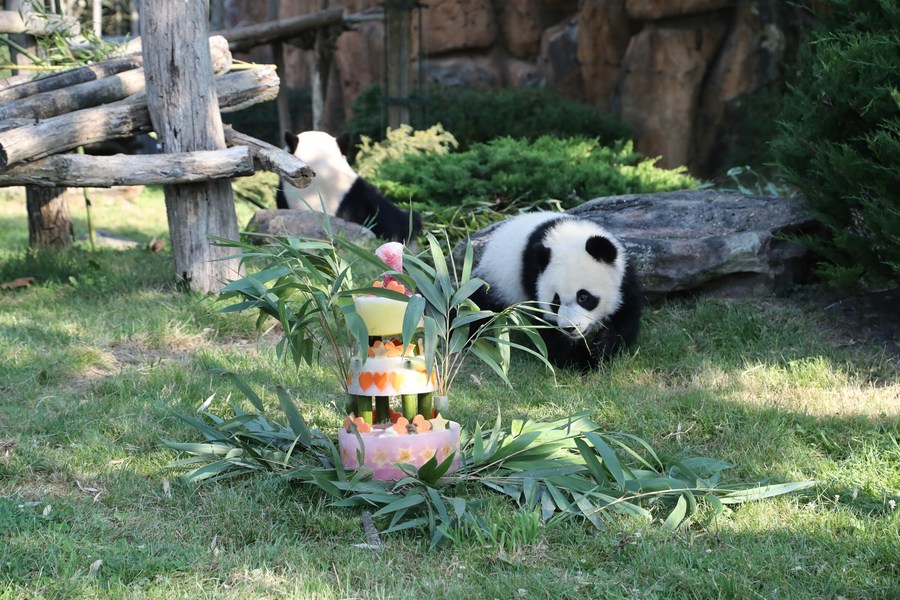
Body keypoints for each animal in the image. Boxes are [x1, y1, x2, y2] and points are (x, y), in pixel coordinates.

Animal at [470, 212, 642, 371]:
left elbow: (623, 318)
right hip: (496, 280)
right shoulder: (534, 279)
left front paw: (599, 352)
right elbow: (547, 330)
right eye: (556, 301)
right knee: (480, 305)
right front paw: (582, 360)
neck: (570, 236)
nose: (570, 328)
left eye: (583, 297)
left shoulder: (623, 280)